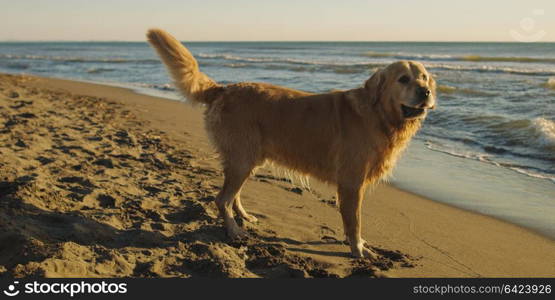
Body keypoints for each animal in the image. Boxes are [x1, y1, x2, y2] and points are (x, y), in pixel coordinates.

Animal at [148, 28, 438, 258]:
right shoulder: (351, 183)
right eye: (403, 79)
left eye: (424, 77)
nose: (426, 92)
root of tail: (225, 88)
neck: (379, 114)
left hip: (247, 159)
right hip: (243, 158)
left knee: (232, 195)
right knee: (221, 199)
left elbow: (350, 222)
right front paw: (358, 249)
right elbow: (355, 222)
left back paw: (244, 217)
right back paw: (233, 230)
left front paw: (356, 244)